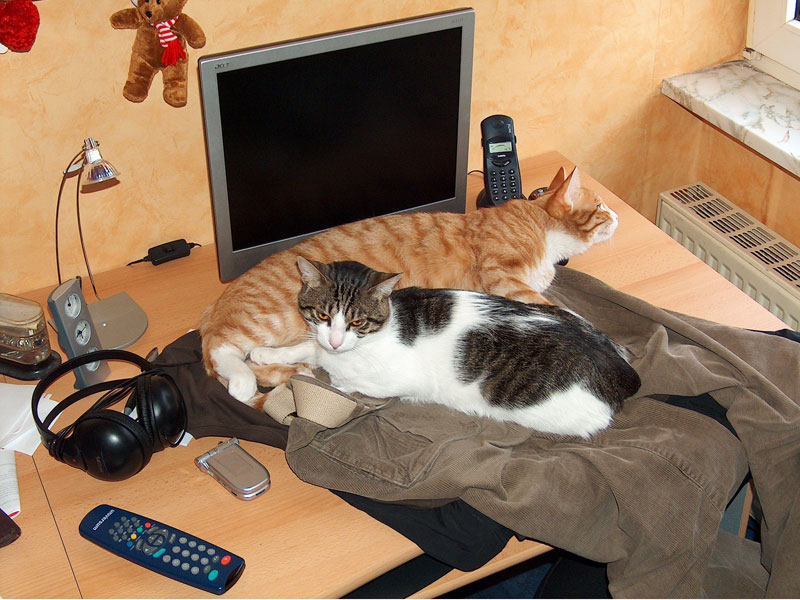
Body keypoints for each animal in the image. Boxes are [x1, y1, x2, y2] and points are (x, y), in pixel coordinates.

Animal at [200, 166, 620, 404]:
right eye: (600, 207)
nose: (616, 214)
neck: (539, 224)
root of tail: (212, 306)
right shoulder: (501, 275)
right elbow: (557, 310)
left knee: (269, 357)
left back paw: (289, 369)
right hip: (266, 320)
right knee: (222, 349)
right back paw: (243, 381)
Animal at [250, 257, 641, 438]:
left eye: (358, 323)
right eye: (322, 314)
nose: (335, 340)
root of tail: (619, 368)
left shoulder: (398, 379)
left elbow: (335, 372)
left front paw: (320, 372)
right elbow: (308, 347)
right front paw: (268, 353)